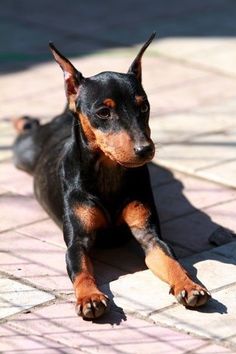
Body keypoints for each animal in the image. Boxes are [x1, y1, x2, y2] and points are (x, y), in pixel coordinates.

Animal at [12, 33, 210, 320]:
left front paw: (189, 285)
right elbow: (81, 272)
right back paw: (21, 120)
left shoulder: (149, 236)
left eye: (144, 107)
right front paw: (90, 297)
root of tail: (66, 112)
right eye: (103, 112)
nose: (146, 149)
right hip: (24, 153)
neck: (108, 171)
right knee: (29, 128)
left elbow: (172, 261)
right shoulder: (77, 243)